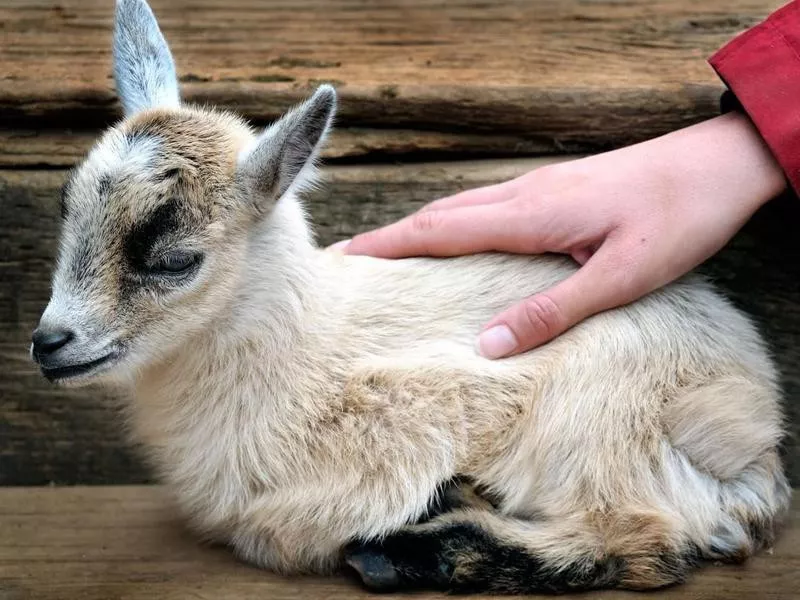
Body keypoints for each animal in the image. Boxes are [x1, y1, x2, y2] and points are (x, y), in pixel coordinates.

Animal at [29, 0, 788, 592]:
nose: (48, 342)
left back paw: (410, 551)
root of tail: (754, 434)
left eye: (175, 260)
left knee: (641, 540)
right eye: (68, 212)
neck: (298, 352)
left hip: (594, 420)